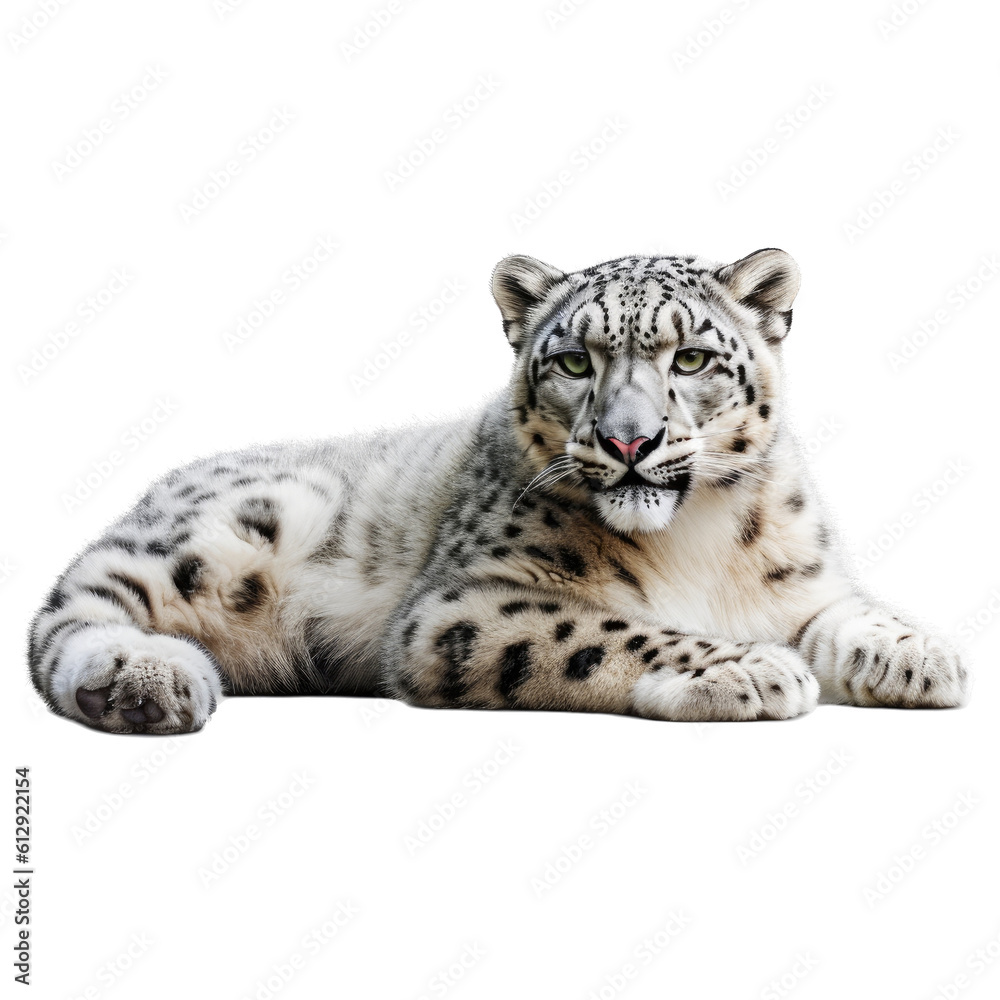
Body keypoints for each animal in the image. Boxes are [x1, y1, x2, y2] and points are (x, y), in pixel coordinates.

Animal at [27, 248, 969, 734]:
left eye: (693, 357)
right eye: (575, 361)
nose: (630, 441)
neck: (697, 535)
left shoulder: (806, 584)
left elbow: (851, 612)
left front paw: (923, 654)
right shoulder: (466, 604)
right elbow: (609, 631)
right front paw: (746, 666)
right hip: (228, 530)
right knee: (69, 613)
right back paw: (145, 681)